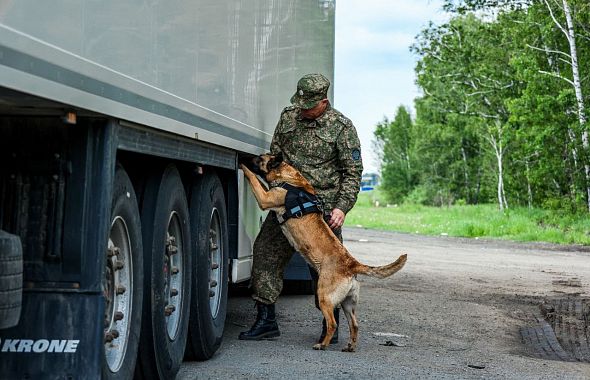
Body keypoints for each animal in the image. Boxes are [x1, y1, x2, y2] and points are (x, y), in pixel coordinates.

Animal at [240, 153, 408, 352]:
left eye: (259, 159)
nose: (246, 157)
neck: (290, 180)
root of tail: (352, 263)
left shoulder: (265, 198)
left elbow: (253, 178)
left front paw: (243, 167)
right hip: (347, 303)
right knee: (354, 324)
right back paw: (350, 346)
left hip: (324, 296)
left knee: (333, 323)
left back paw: (323, 344)